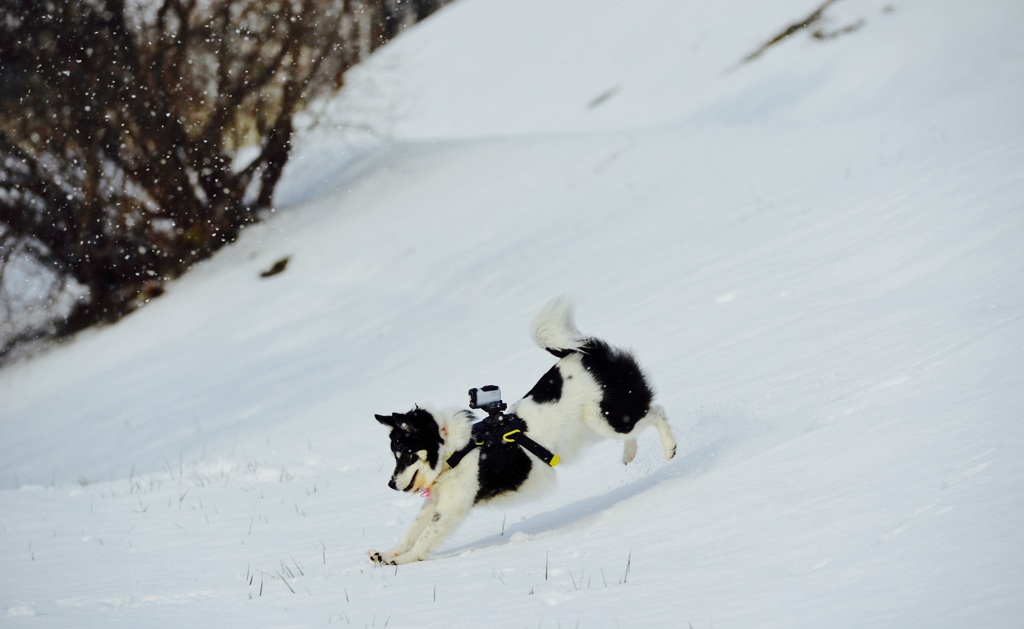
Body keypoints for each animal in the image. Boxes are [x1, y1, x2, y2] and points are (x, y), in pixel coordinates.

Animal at [366, 299, 671, 569]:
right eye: (396, 456)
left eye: (406, 454)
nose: (391, 484)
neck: (454, 450)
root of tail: (589, 353)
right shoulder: (435, 501)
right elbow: (411, 531)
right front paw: (388, 553)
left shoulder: (451, 507)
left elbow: (425, 538)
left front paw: (402, 561)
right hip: (598, 425)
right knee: (638, 424)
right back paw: (629, 453)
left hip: (609, 418)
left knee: (657, 412)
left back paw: (670, 448)